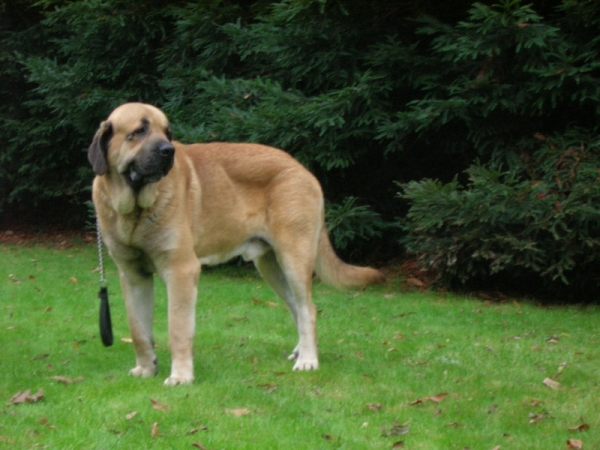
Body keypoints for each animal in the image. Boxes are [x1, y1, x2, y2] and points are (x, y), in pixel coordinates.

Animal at [88, 103, 384, 384]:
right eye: (139, 131)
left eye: (167, 133)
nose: (168, 150)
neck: (135, 211)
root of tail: (302, 169)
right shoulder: (133, 276)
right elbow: (138, 330)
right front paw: (146, 369)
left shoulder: (181, 270)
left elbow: (178, 329)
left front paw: (181, 376)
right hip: (271, 266)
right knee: (296, 308)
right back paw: (301, 351)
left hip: (294, 258)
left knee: (308, 309)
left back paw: (308, 360)